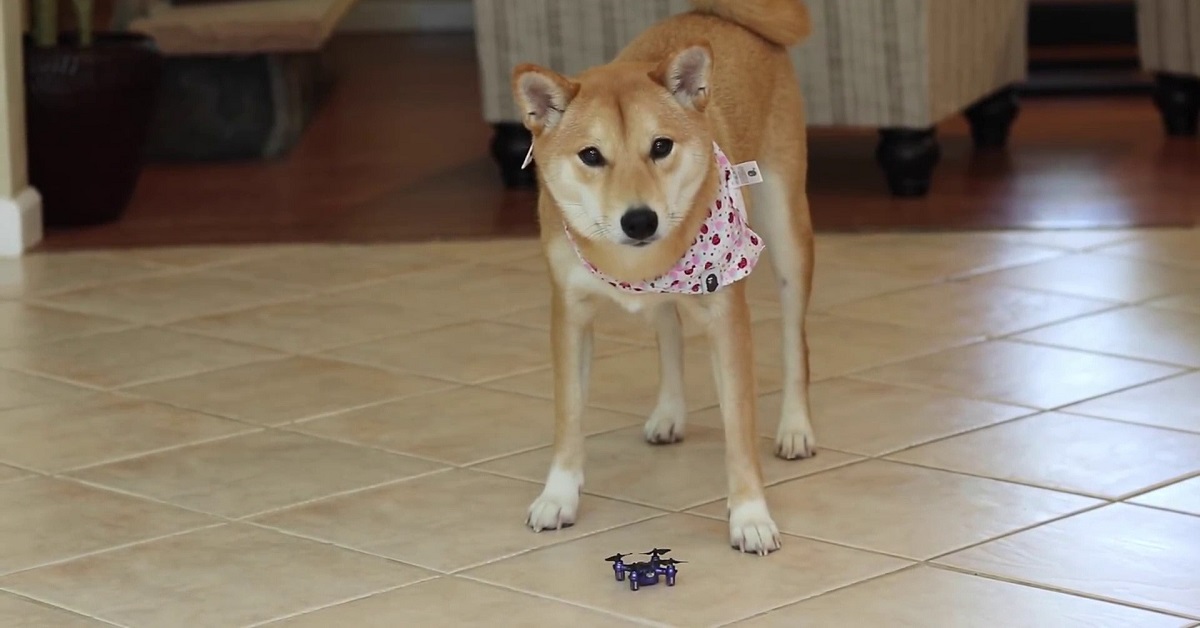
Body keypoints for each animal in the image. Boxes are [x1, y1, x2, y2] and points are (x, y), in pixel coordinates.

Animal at [511, 0, 820, 554]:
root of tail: (715, 14)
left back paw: (795, 427)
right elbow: (569, 413)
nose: (640, 221)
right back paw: (670, 413)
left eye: (661, 147)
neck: (630, 265)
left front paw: (750, 515)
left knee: (793, 340)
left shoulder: (726, 314)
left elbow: (740, 424)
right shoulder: (569, 314)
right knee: (668, 330)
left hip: (787, 231)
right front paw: (558, 496)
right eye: (591, 155)